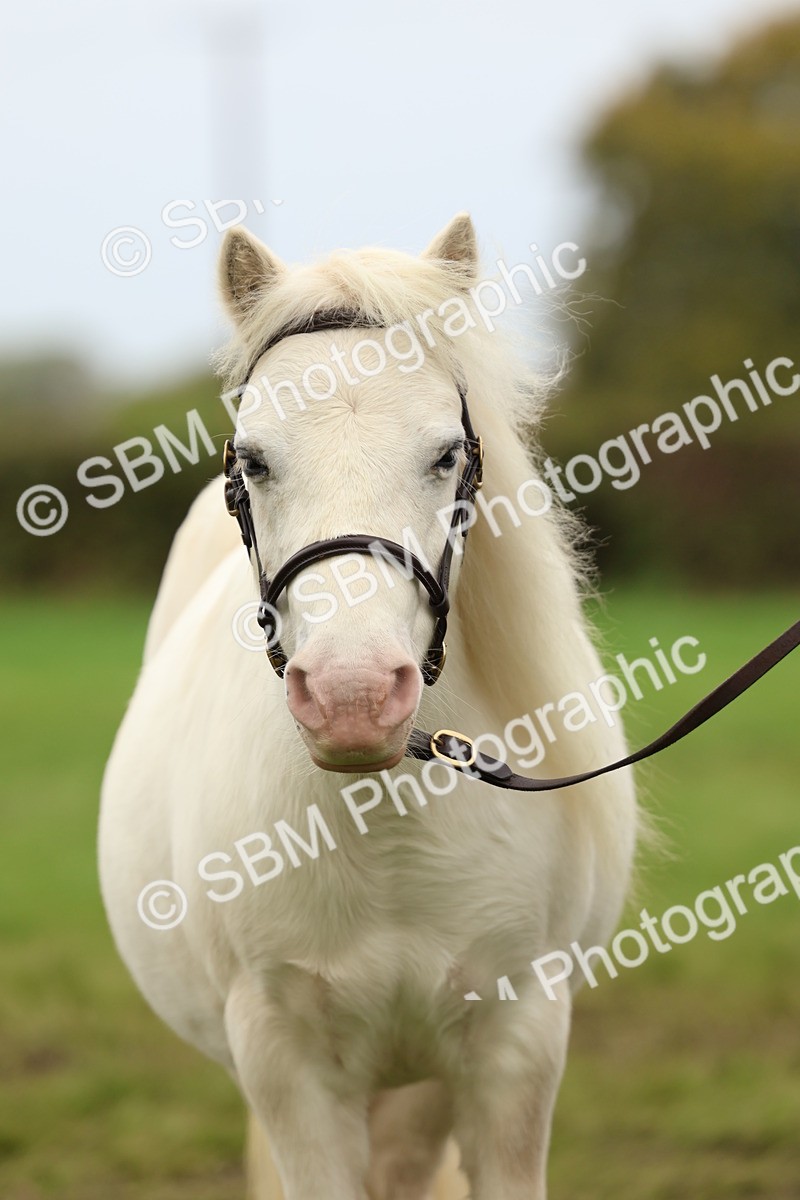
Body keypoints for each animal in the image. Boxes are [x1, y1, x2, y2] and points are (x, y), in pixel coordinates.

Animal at [99, 212, 638, 1200]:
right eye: (254, 459)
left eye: (446, 454)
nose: (351, 697)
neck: (387, 833)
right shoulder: (285, 1062)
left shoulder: (516, 1046)